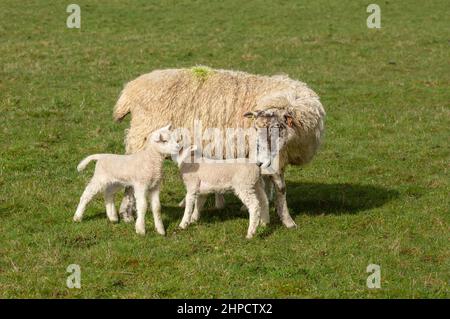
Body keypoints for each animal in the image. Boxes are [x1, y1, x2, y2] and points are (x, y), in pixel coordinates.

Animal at [111, 67, 326, 228]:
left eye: (279, 128)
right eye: (256, 128)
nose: (264, 157)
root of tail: (129, 91)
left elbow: (269, 185)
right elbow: (280, 188)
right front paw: (288, 221)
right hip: (142, 137)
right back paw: (127, 213)